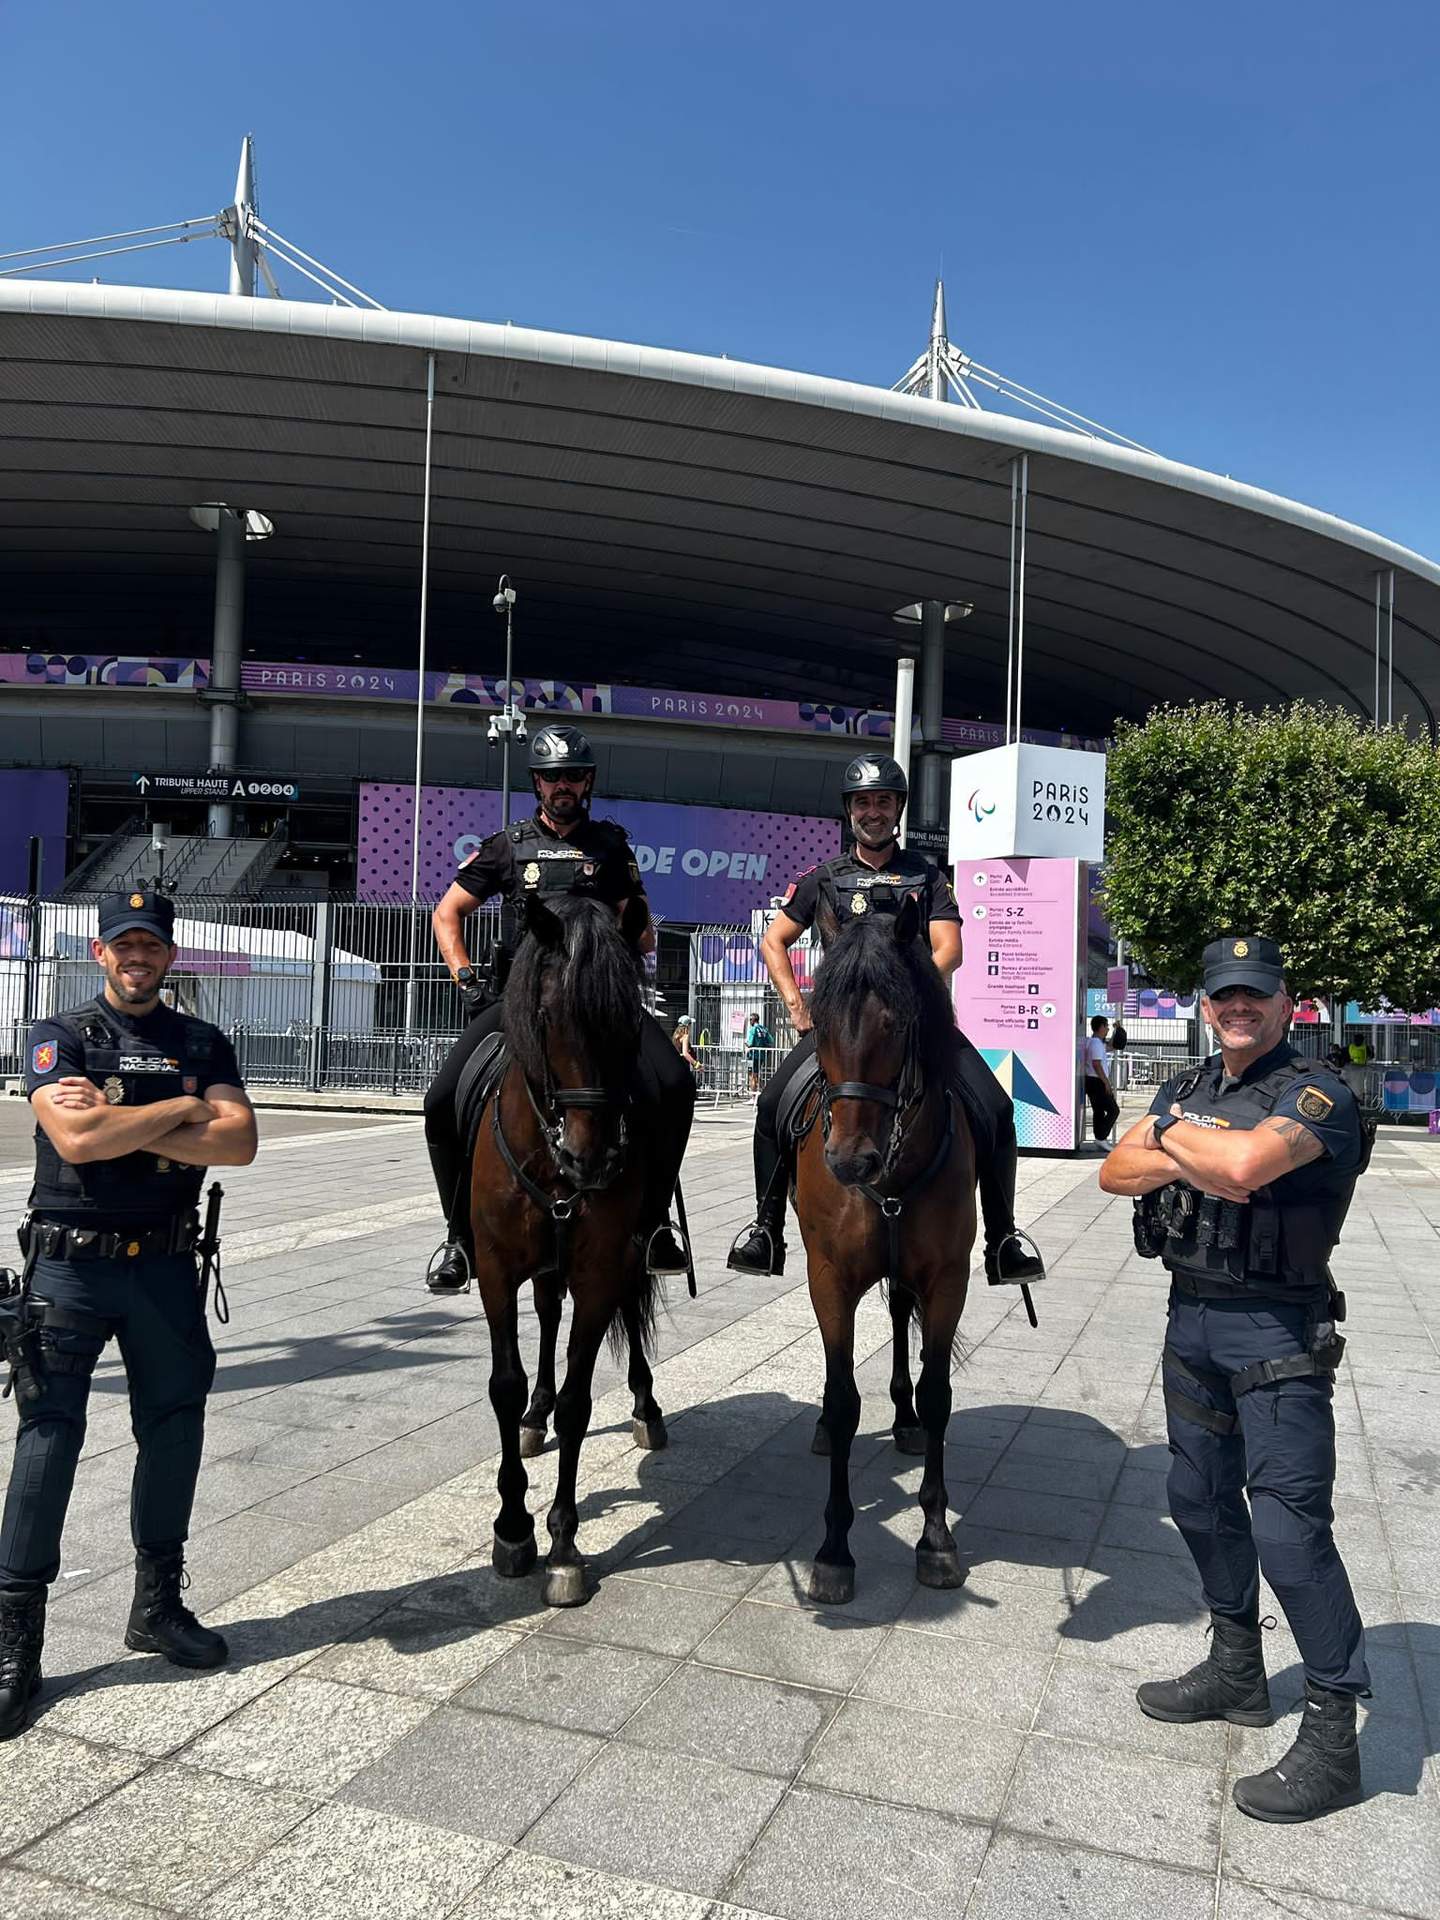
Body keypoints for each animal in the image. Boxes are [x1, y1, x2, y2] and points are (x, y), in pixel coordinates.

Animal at [476, 890, 675, 1612]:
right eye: (546, 1015)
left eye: (628, 1019)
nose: (592, 1157)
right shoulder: (495, 1269)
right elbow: (504, 1386)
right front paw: (512, 1529)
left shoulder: (597, 1268)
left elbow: (579, 1401)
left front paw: (562, 1546)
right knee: (545, 1316)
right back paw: (534, 1418)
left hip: (628, 1252)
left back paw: (647, 1407)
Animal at [802, 898, 983, 1605]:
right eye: (819, 1022)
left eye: (898, 1022)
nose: (850, 1162)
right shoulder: (829, 1279)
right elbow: (842, 1400)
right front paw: (833, 1549)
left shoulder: (947, 1280)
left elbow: (937, 1395)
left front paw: (936, 1538)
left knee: (903, 1324)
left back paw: (903, 1419)